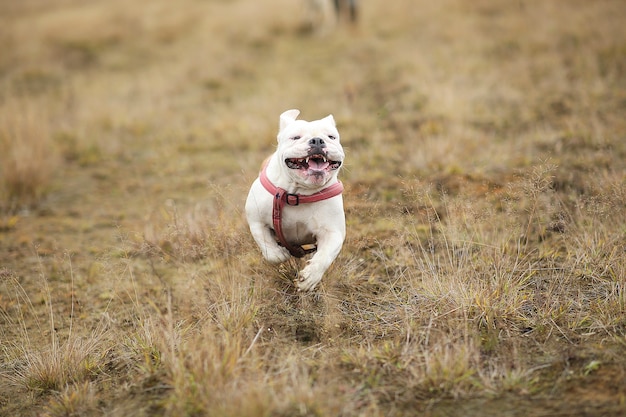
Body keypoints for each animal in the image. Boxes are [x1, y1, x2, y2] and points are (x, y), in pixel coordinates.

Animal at [244, 109, 344, 290]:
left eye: (331, 137)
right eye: (296, 137)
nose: (317, 140)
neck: (298, 194)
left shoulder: (333, 232)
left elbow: (324, 256)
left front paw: (310, 277)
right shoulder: (256, 221)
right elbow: (267, 246)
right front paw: (279, 254)